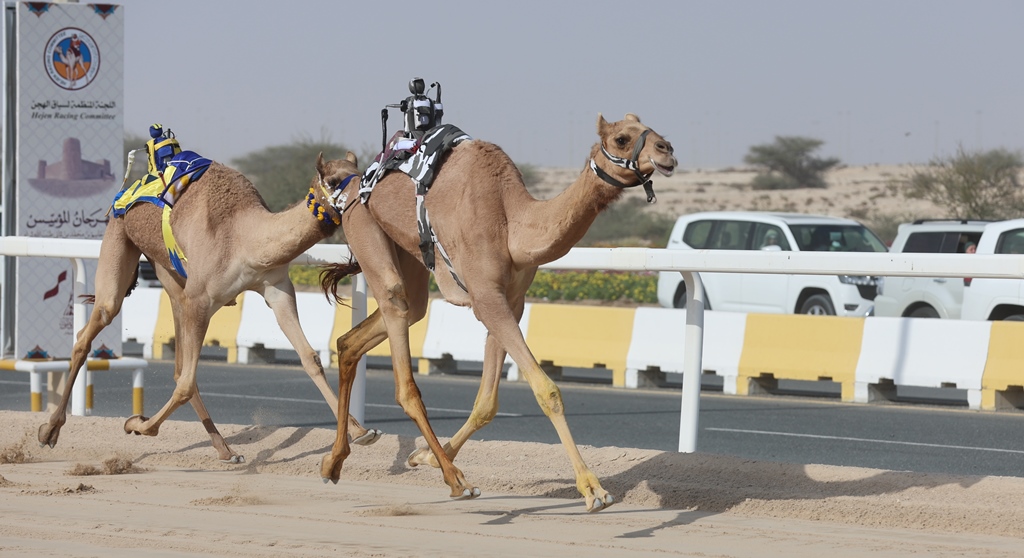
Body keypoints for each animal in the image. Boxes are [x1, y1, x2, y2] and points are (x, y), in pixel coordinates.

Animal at [36, 150, 382, 458]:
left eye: (361, 171)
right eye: (334, 180)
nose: (364, 198)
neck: (246, 237)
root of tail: (126, 190)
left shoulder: (277, 289)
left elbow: (310, 358)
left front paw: (362, 432)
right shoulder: (202, 300)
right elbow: (186, 383)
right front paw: (137, 424)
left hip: (169, 275)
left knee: (178, 363)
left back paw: (225, 450)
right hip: (120, 238)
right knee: (93, 327)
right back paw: (49, 430)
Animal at [317, 113, 671, 509]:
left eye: (650, 128)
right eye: (622, 138)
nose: (667, 151)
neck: (512, 222)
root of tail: (347, 187)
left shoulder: (510, 301)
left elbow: (487, 402)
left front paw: (422, 456)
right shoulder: (486, 298)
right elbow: (547, 390)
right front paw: (592, 489)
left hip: (408, 253)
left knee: (366, 332)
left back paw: (334, 462)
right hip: (363, 226)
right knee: (399, 340)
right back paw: (456, 480)